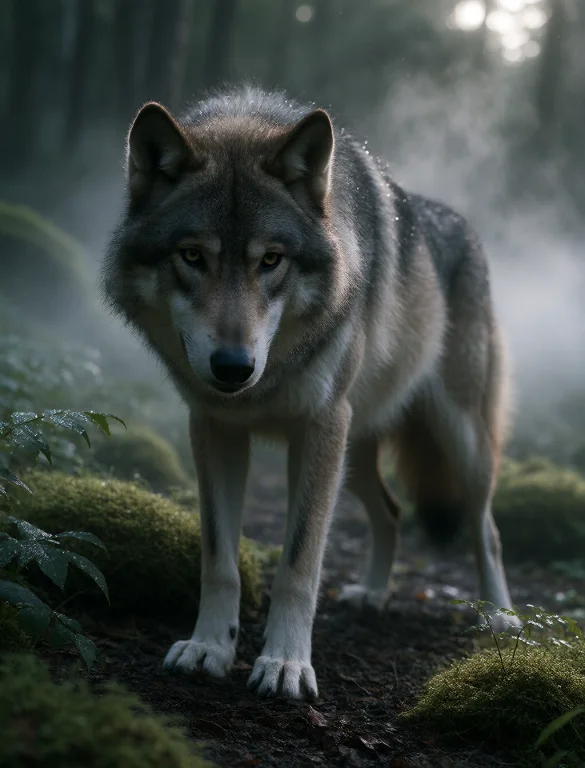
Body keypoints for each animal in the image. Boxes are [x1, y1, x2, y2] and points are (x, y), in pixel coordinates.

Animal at [102, 86, 520, 701]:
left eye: (270, 260)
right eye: (193, 256)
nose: (233, 368)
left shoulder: (319, 427)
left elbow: (299, 563)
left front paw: (284, 664)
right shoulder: (215, 428)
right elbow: (219, 558)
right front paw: (210, 646)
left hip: (454, 441)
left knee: (486, 529)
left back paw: (501, 617)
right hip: (356, 451)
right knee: (392, 512)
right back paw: (373, 594)